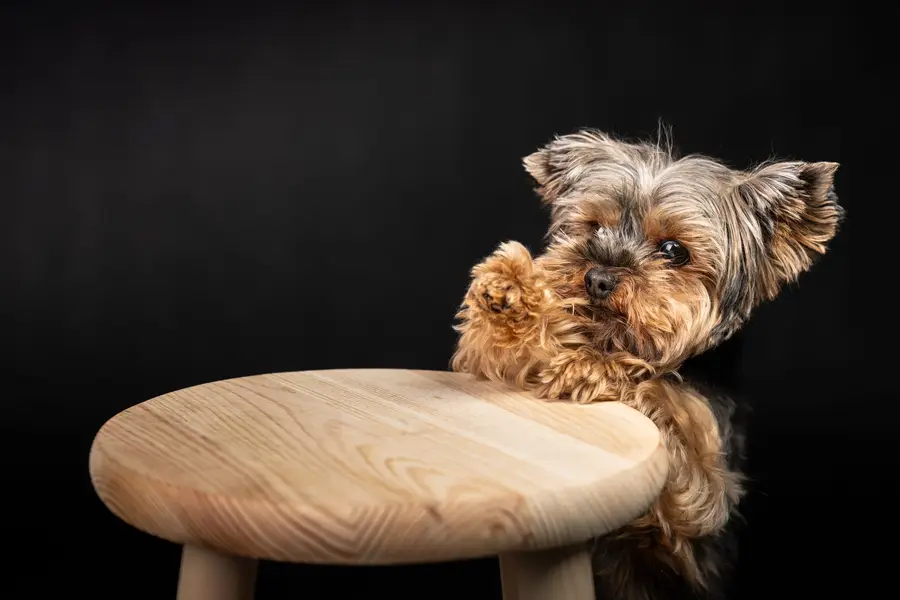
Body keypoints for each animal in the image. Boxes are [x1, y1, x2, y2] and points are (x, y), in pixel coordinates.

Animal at [450, 129, 844, 596]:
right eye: (594, 227)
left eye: (673, 250)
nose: (598, 278)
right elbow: (497, 355)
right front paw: (510, 289)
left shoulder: (700, 496)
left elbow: (662, 408)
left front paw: (594, 366)